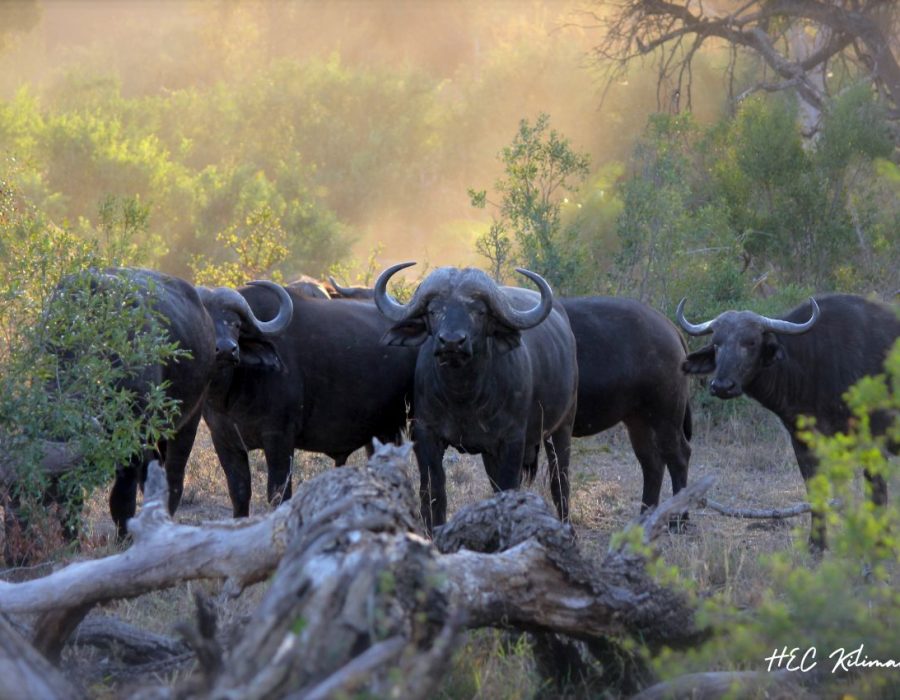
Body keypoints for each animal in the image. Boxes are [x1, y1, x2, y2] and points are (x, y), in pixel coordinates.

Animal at [372, 262, 576, 532]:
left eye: (478, 312)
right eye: (434, 310)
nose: (451, 342)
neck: (464, 396)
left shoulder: (512, 441)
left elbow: (508, 488)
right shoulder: (426, 434)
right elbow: (433, 493)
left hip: (562, 427)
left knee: (560, 483)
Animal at [560, 296, 692, 516]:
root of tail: (670, 327)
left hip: (666, 417)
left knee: (679, 457)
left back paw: (679, 518)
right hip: (639, 420)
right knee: (653, 463)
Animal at [680, 292, 896, 548]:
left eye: (751, 343)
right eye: (716, 343)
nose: (722, 386)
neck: (812, 362)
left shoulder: (874, 442)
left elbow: (877, 493)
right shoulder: (802, 442)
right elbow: (815, 490)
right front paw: (816, 544)